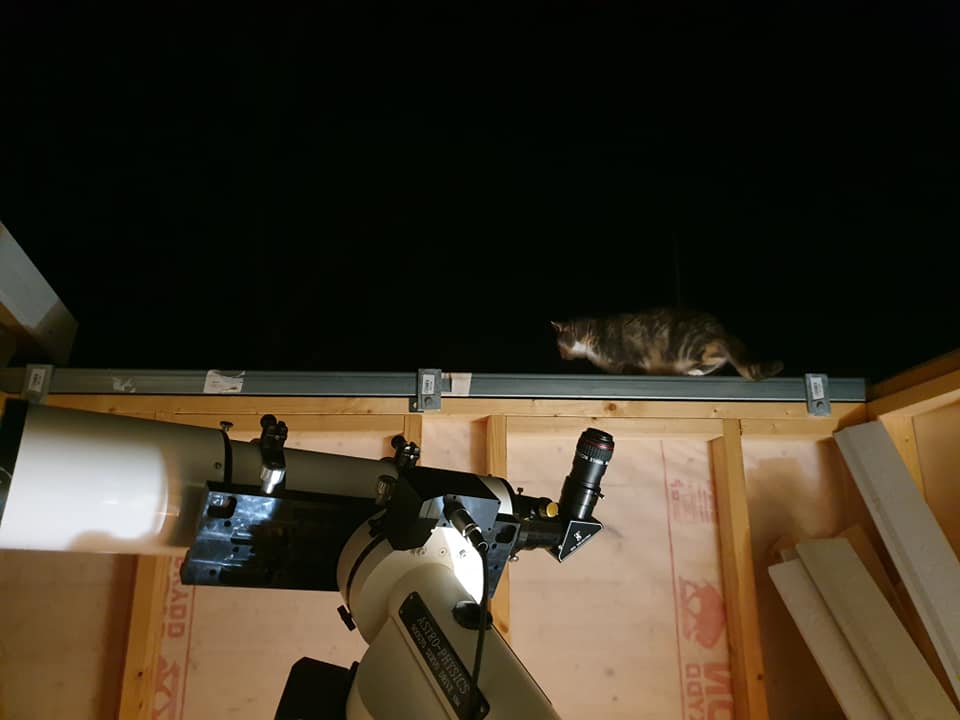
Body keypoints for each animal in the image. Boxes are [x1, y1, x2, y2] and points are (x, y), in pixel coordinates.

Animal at [550, 308, 784, 380]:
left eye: (559, 347)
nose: (561, 356)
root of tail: (720, 328)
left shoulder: (629, 359)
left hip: (689, 345)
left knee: (717, 356)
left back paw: (694, 371)